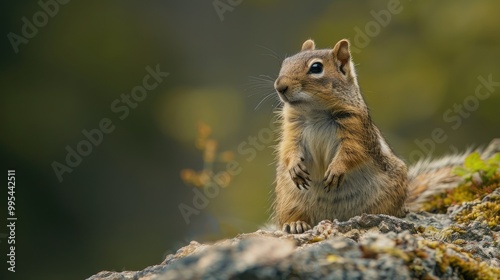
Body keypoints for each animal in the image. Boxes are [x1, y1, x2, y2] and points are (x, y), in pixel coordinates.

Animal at [274, 38, 500, 233]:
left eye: (316, 68)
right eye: (285, 62)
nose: (280, 86)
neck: (314, 112)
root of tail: (331, 217)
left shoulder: (356, 131)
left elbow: (351, 152)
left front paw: (336, 169)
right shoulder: (292, 130)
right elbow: (289, 149)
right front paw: (294, 166)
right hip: (290, 198)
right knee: (294, 215)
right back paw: (296, 224)